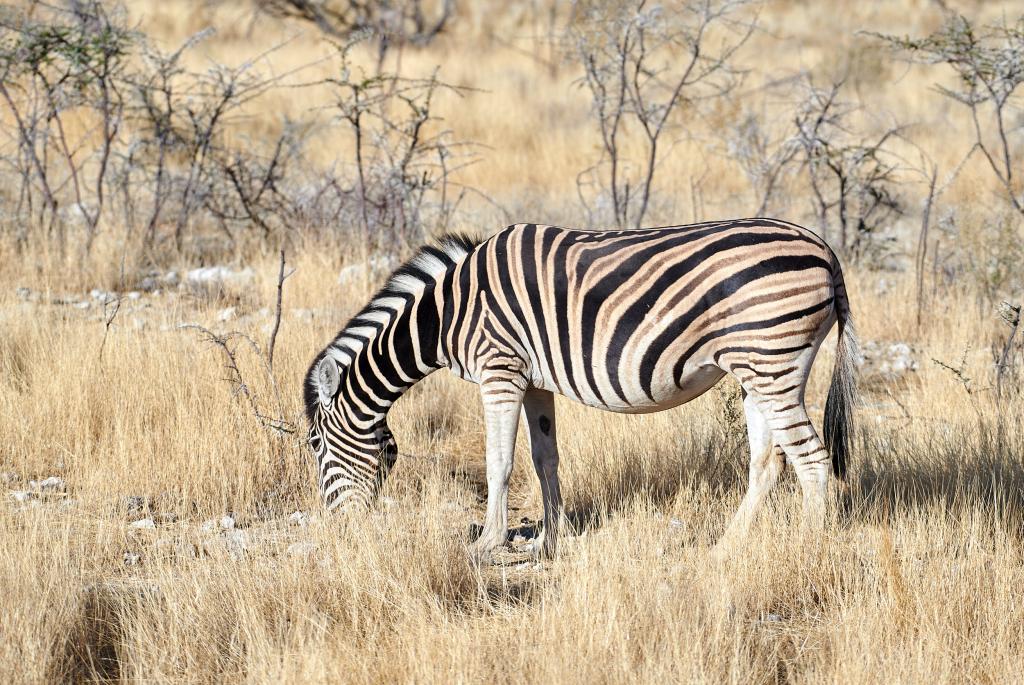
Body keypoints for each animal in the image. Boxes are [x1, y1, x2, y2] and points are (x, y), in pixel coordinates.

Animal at [303, 220, 856, 561]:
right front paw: (549, 541)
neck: (447, 313)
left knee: (811, 458)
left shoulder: (499, 371)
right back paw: (727, 547)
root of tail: (826, 250)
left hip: (772, 362)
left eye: (315, 447)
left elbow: (499, 461)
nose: (340, 533)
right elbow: (544, 457)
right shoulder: (532, 381)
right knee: (768, 459)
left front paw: (487, 544)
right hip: (756, 369)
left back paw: (809, 549)